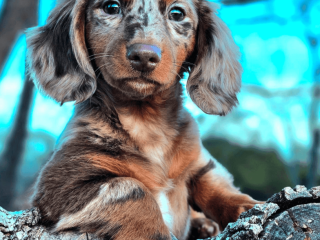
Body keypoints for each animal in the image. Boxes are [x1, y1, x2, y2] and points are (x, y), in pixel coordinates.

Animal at [26, 0, 258, 239]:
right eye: (111, 7)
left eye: (177, 13)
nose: (144, 56)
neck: (146, 121)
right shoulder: (64, 180)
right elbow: (133, 189)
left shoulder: (200, 162)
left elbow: (218, 187)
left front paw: (249, 206)